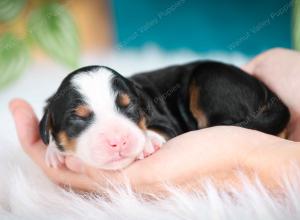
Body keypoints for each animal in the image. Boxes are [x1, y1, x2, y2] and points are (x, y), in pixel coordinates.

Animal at [39, 60, 290, 170]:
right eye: (78, 118)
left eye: (130, 107)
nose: (118, 140)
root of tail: (270, 95)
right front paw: (53, 152)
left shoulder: (166, 120)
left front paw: (148, 142)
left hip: (210, 78)